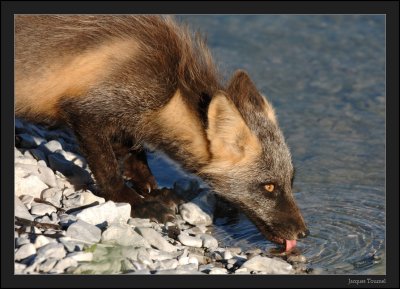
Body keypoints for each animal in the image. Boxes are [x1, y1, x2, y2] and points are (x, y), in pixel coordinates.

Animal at [15, 15, 310, 250]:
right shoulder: (86, 113)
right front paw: (135, 203)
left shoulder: (124, 118)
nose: (304, 233)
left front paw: (152, 191)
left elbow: (135, 153)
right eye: (269, 187)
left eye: (290, 181)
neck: (171, 89)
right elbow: (110, 172)